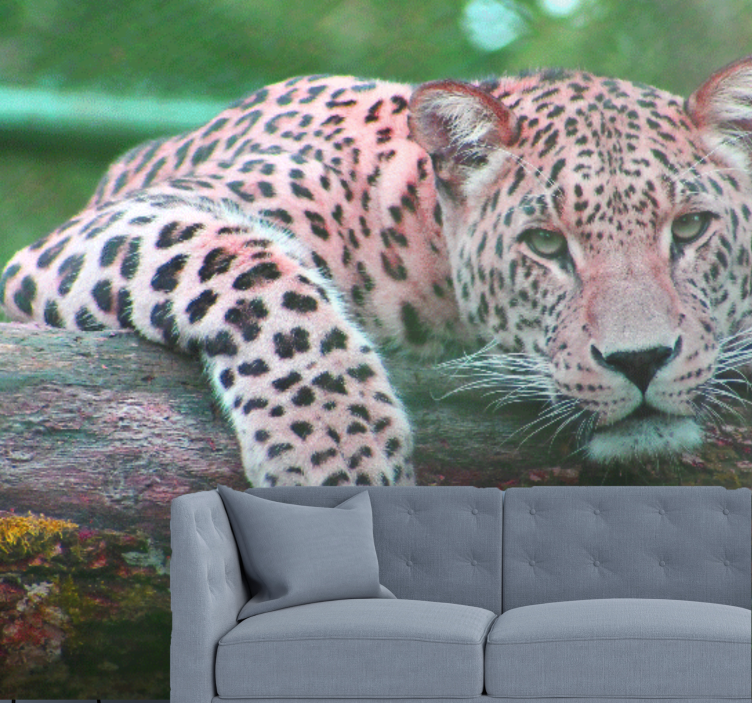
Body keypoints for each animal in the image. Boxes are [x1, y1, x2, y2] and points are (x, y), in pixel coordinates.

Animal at [2, 56, 752, 487]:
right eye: (545, 244)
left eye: (690, 229)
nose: (641, 360)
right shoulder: (89, 235)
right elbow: (246, 266)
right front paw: (335, 445)